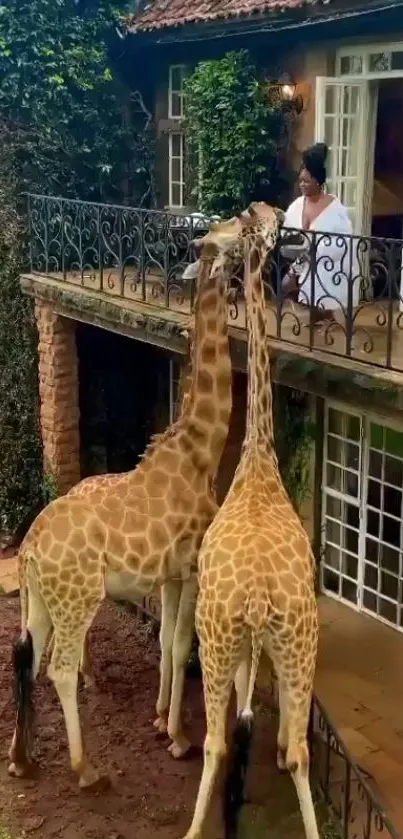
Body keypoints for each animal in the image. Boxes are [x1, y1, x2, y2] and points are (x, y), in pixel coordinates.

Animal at [7, 213, 243, 792]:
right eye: (233, 236)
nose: (260, 215)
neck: (200, 450)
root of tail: (29, 548)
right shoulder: (192, 568)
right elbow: (180, 645)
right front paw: (179, 738)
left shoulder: (172, 573)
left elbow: (165, 643)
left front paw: (161, 720)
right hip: (77, 597)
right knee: (57, 666)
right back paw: (85, 768)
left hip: (44, 598)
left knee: (27, 654)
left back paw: (22, 758)